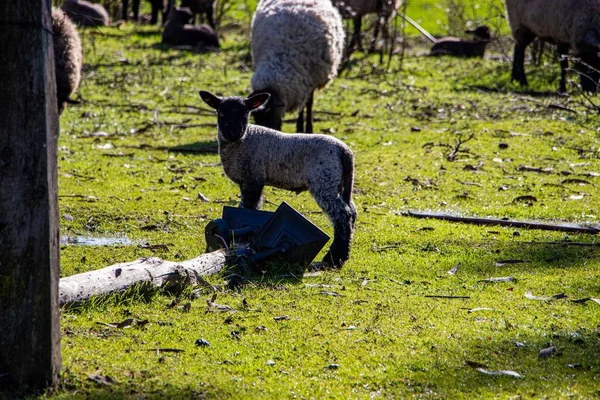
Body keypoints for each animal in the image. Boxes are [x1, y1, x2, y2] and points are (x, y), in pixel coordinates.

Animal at [199, 89, 356, 268]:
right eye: (221, 113)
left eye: (245, 113)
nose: (233, 132)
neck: (243, 141)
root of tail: (344, 151)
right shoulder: (254, 181)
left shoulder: (252, 179)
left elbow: (247, 209)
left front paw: (240, 241)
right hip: (340, 182)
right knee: (352, 211)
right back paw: (342, 254)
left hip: (324, 180)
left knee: (343, 215)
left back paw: (334, 258)